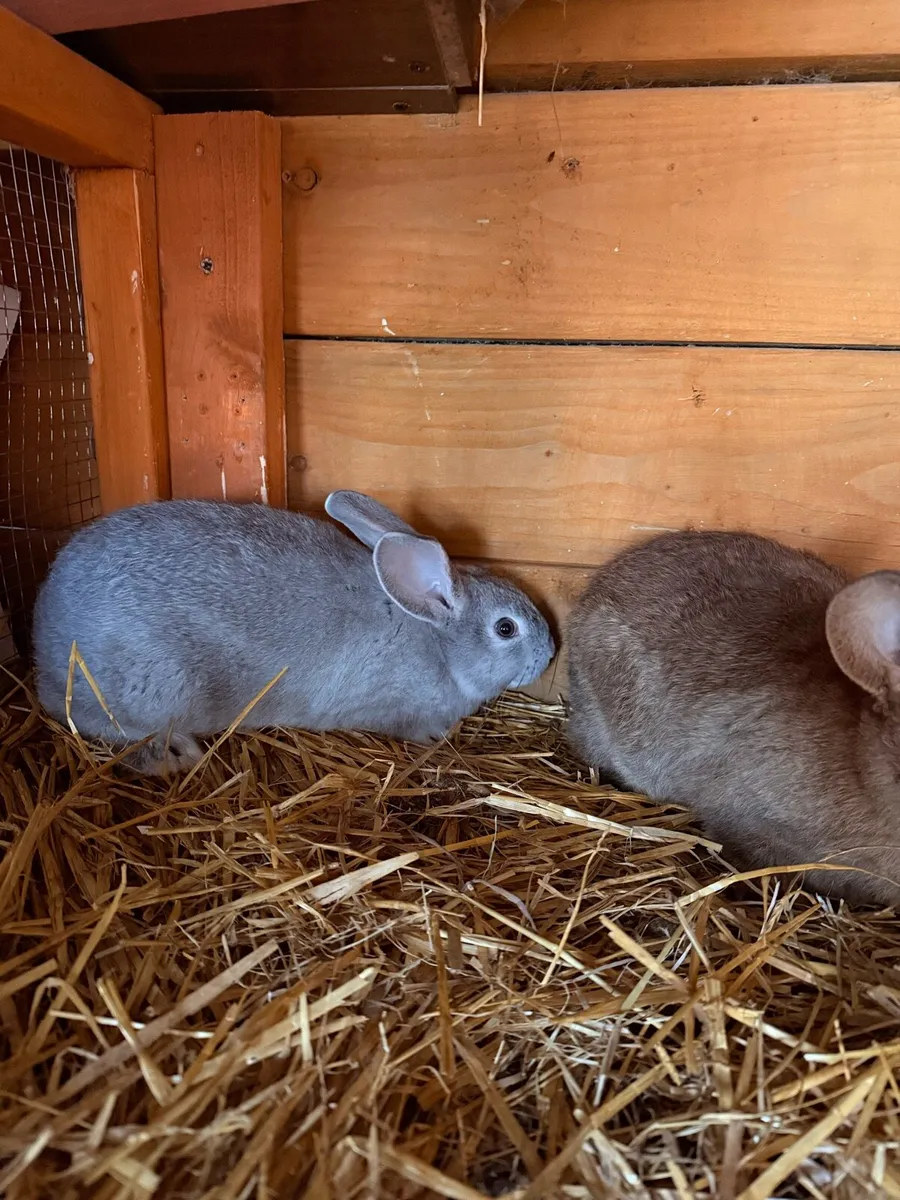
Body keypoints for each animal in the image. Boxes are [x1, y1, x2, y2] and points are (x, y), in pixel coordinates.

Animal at [32, 492, 555, 775]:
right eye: (506, 628)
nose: (550, 651)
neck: (438, 639)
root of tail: (45, 646)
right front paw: (435, 735)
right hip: (158, 686)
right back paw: (177, 751)